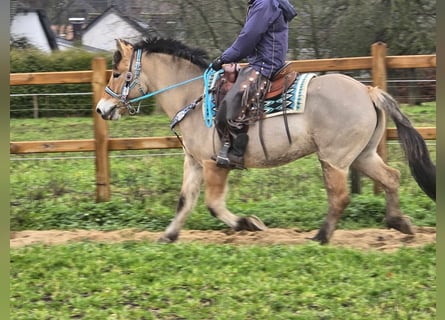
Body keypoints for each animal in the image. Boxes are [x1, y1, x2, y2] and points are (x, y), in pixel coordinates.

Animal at [96, 37, 434, 244]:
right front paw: (168, 235)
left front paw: (249, 223)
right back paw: (400, 223)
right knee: (391, 177)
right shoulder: (193, 162)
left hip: (334, 159)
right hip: (362, 155)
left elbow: (213, 204)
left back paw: (321, 237)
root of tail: (367, 90)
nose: (102, 108)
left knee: (339, 197)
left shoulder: (214, 164)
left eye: (117, 73)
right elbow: (185, 202)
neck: (193, 96)